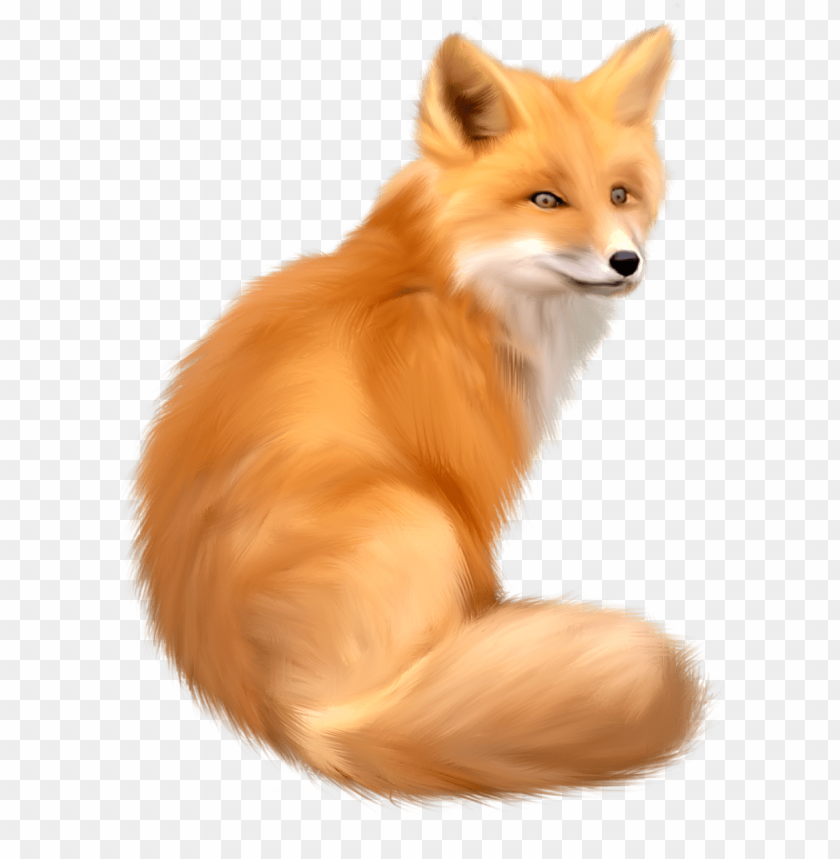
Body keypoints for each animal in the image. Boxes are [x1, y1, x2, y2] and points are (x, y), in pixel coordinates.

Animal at [134, 26, 707, 801]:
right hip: (418, 516)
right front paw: (497, 629)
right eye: (547, 199)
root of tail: (291, 721)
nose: (627, 261)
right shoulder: (465, 476)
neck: (447, 282)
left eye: (622, 194)